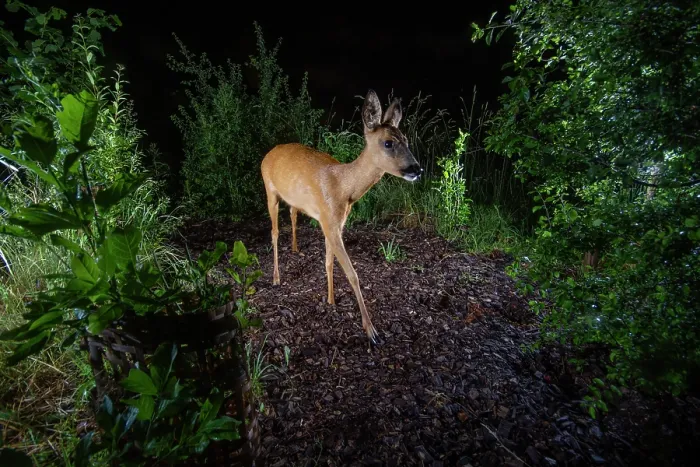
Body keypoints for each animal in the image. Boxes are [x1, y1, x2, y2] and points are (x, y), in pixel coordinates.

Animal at [260, 89, 422, 343]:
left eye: (406, 140)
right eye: (388, 143)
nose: (417, 169)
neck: (344, 187)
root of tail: (269, 153)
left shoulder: (335, 222)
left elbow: (328, 262)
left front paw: (330, 299)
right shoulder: (329, 221)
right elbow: (352, 273)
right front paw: (371, 331)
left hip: (292, 198)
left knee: (293, 213)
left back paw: (295, 248)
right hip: (269, 189)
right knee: (274, 232)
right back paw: (276, 278)